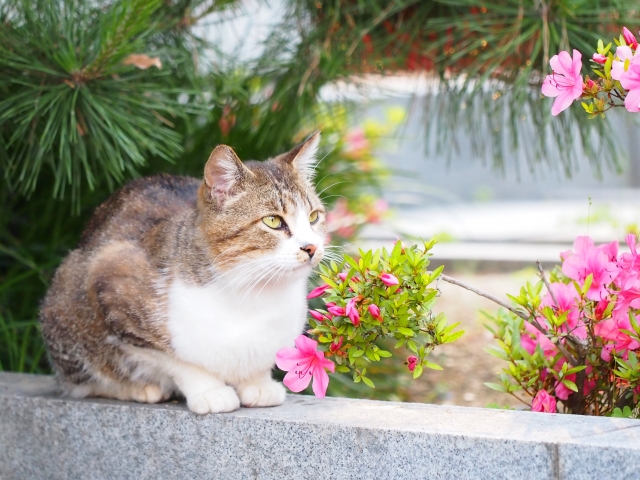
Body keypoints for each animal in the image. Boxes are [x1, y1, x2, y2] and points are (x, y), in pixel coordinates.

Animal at [40, 131, 328, 412]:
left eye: (314, 217)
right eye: (273, 221)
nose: (312, 247)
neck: (254, 293)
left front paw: (257, 383)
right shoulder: (112, 283)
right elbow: (178, 361)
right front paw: (210, 391)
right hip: (65, 302)